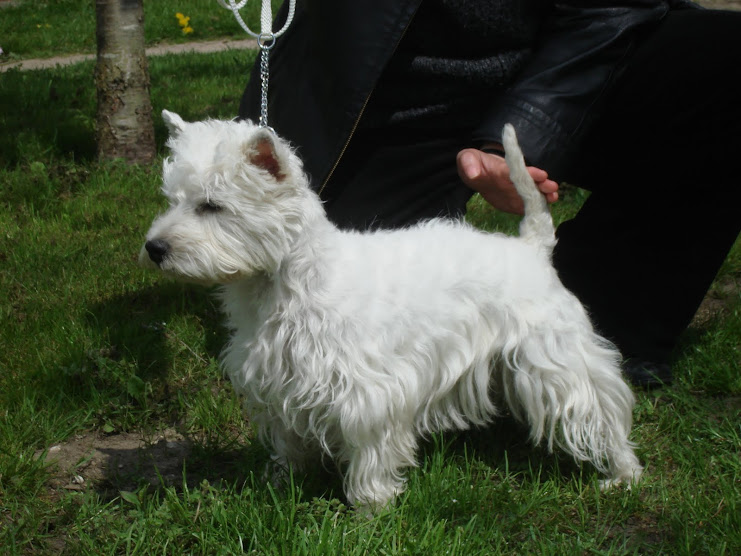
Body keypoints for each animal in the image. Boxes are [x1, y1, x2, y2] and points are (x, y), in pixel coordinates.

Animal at [140, 109, 640, 512]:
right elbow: (288, 440)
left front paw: (370, 508)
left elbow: (370, 453)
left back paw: (622, 473)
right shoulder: (278, 383)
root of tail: (532, 247)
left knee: (600, 407)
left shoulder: (367, 394)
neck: (287, 284)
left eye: (212, 206)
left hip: (555, 357)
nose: (154, 248)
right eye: (172, 200)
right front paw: (282, 482)